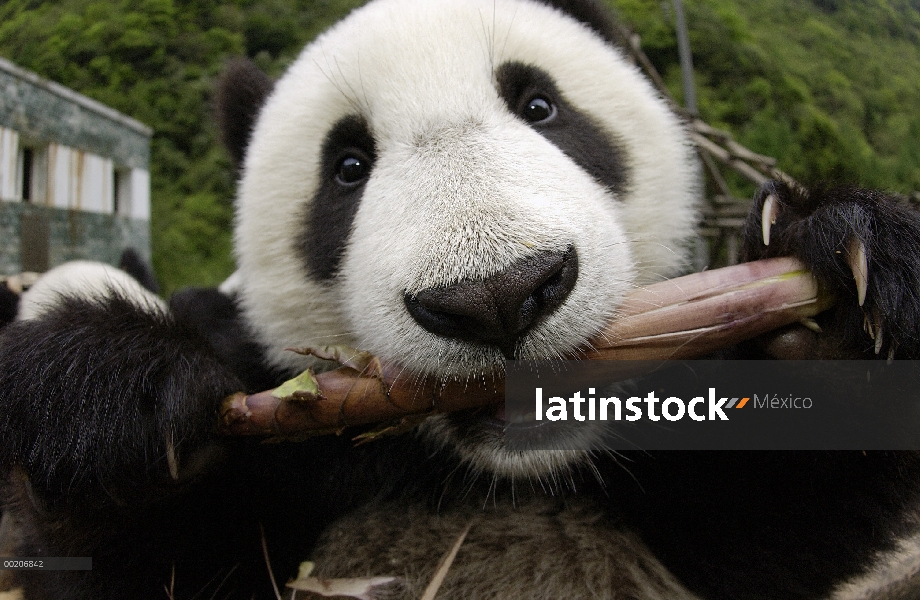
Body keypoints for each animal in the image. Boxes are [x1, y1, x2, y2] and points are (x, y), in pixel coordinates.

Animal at [1, 1, 920, 600]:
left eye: (540, 105)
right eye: (347, 167)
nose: (498, 295)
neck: (502, 479)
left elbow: (778, 516)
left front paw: (839, 291)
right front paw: (111, 403)